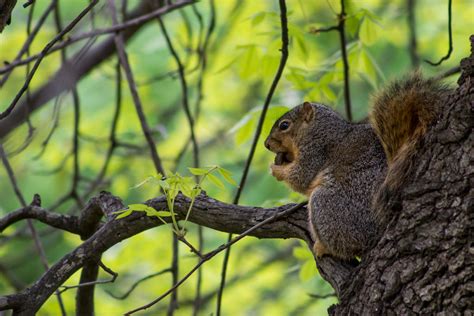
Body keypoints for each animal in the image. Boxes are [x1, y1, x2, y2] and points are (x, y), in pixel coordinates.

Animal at [264, 72, 450, 260]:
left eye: (284, 125)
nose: (266, 144)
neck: (318, 129)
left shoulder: (315, 151)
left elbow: (301, 176)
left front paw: (275, 169)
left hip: (327, 205)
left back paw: (324, 247)